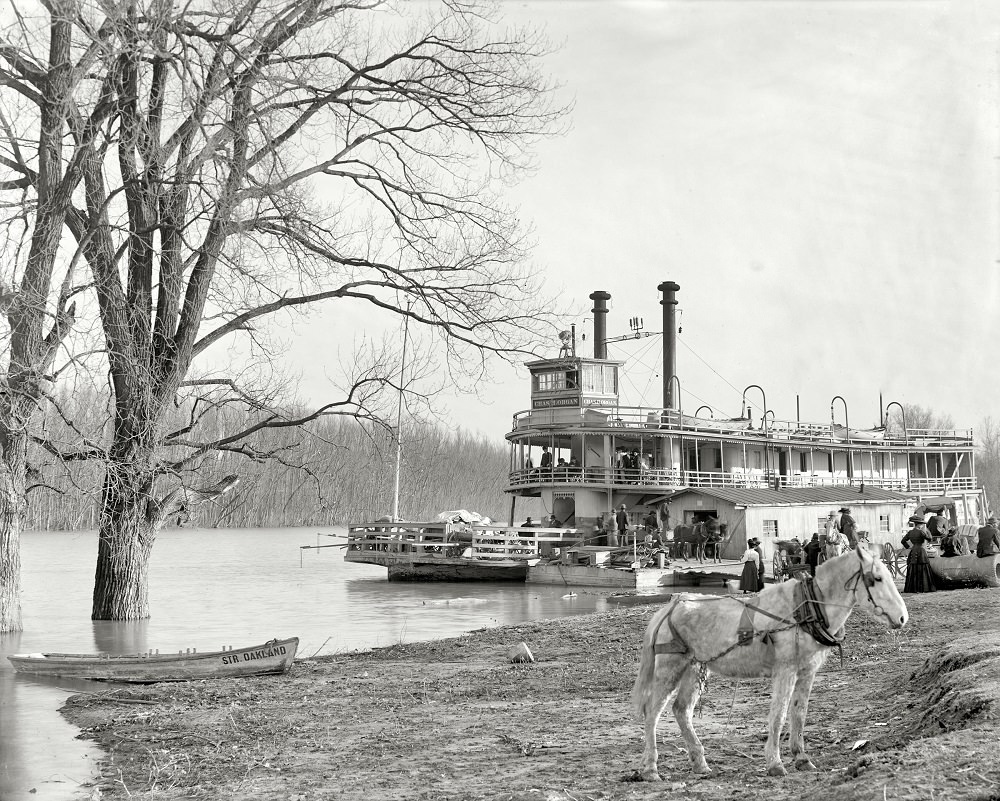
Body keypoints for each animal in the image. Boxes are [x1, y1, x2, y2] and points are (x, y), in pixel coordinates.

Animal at [632, 548, 908, 780]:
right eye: (876, 578)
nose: (903, 618)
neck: (804, 609)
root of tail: (671, 606)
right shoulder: (785, 670)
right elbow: (779, 714)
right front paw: (775, 763)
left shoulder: (807, 671)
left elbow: (799, 713)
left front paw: (802, 758)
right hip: (670, 668)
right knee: (652, 712)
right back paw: (650, 768)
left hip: (695, 668)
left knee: (682, 710)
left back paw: (700, 763)